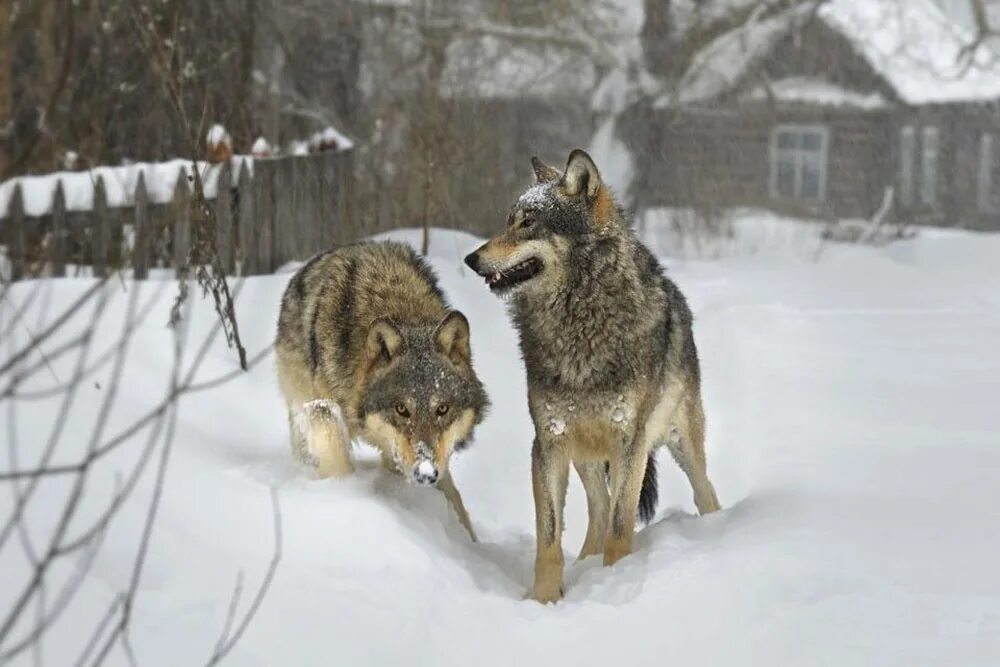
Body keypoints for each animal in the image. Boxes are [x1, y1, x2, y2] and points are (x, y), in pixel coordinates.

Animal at [278, 243, 488, 540]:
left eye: (442, 409)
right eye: (402, 409)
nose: (425, 474)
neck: (398, 306)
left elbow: (454, 497)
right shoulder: (323, 410)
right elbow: (336, 460)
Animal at [464, 150, 724, 600]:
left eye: (528, 223)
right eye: (509, 220)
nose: (471, 259)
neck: (578, 324)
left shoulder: (630, 443)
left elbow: (621, 527)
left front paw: (616, 584)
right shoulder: (548, 442)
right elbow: (549, 536)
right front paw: (545, 598)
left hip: (681, 444)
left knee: (703, 492)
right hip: (584, 454)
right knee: (598, 509)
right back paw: (585, 564)